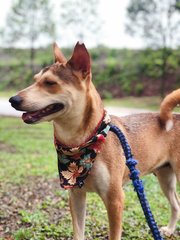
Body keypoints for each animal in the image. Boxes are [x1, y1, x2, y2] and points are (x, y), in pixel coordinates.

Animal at [9, 42, 180, 239]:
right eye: (35, 80)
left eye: (50, 83)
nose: (12, 99)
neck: (81, 143)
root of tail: (174, 116)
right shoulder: (76, 195)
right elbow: (78, 232)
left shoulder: (115, 199)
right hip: (165, 177)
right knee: (176, 204)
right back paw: (170, 230)